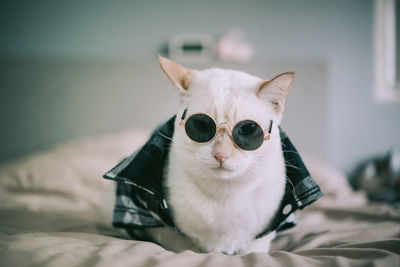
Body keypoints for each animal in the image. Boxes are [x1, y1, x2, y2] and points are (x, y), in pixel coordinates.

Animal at [145, 56, 296, 255]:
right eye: (201, 125)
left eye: (248, 129)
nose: (220, 155)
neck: (224, 199)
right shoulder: (160, 228)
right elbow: (185, 247)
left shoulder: (263, 236)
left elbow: (252, 252)